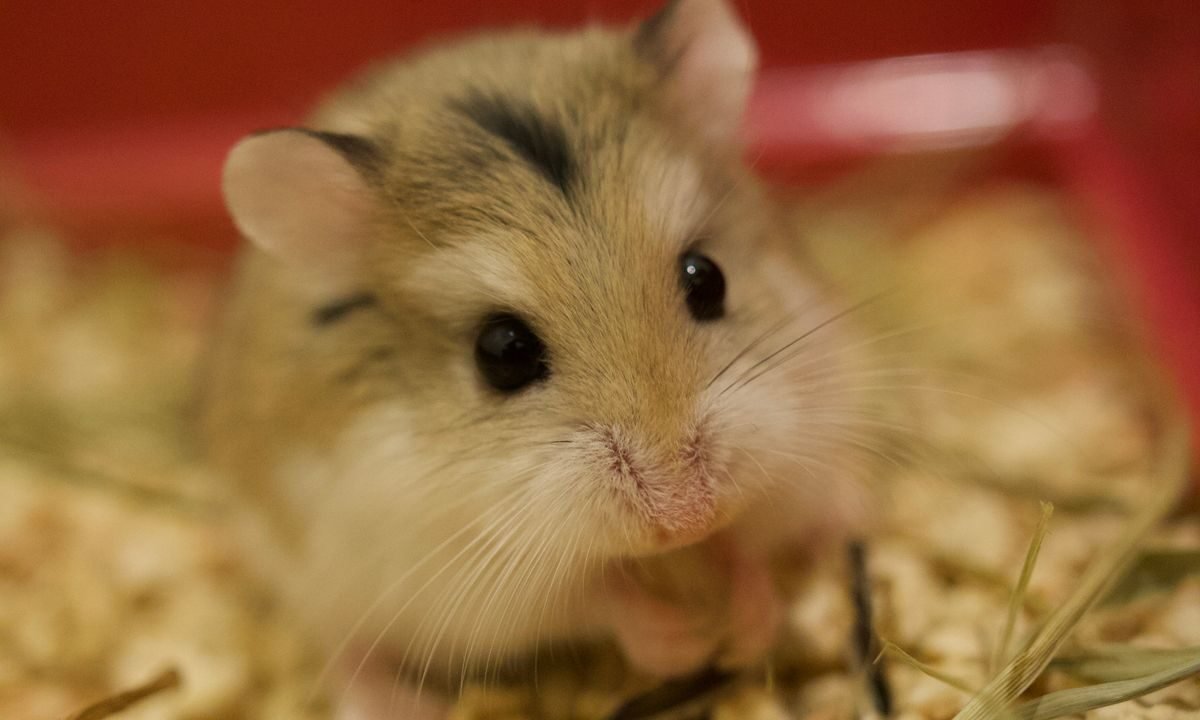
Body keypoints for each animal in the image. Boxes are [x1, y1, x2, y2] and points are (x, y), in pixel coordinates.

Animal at [201, 0, 873, 703]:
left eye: (707, 278)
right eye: (502, 352)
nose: (687, 516)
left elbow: (745, 550)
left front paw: (747, 628)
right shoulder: (466, 572)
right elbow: (597, 598)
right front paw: (685, 645)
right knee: (344, 651)